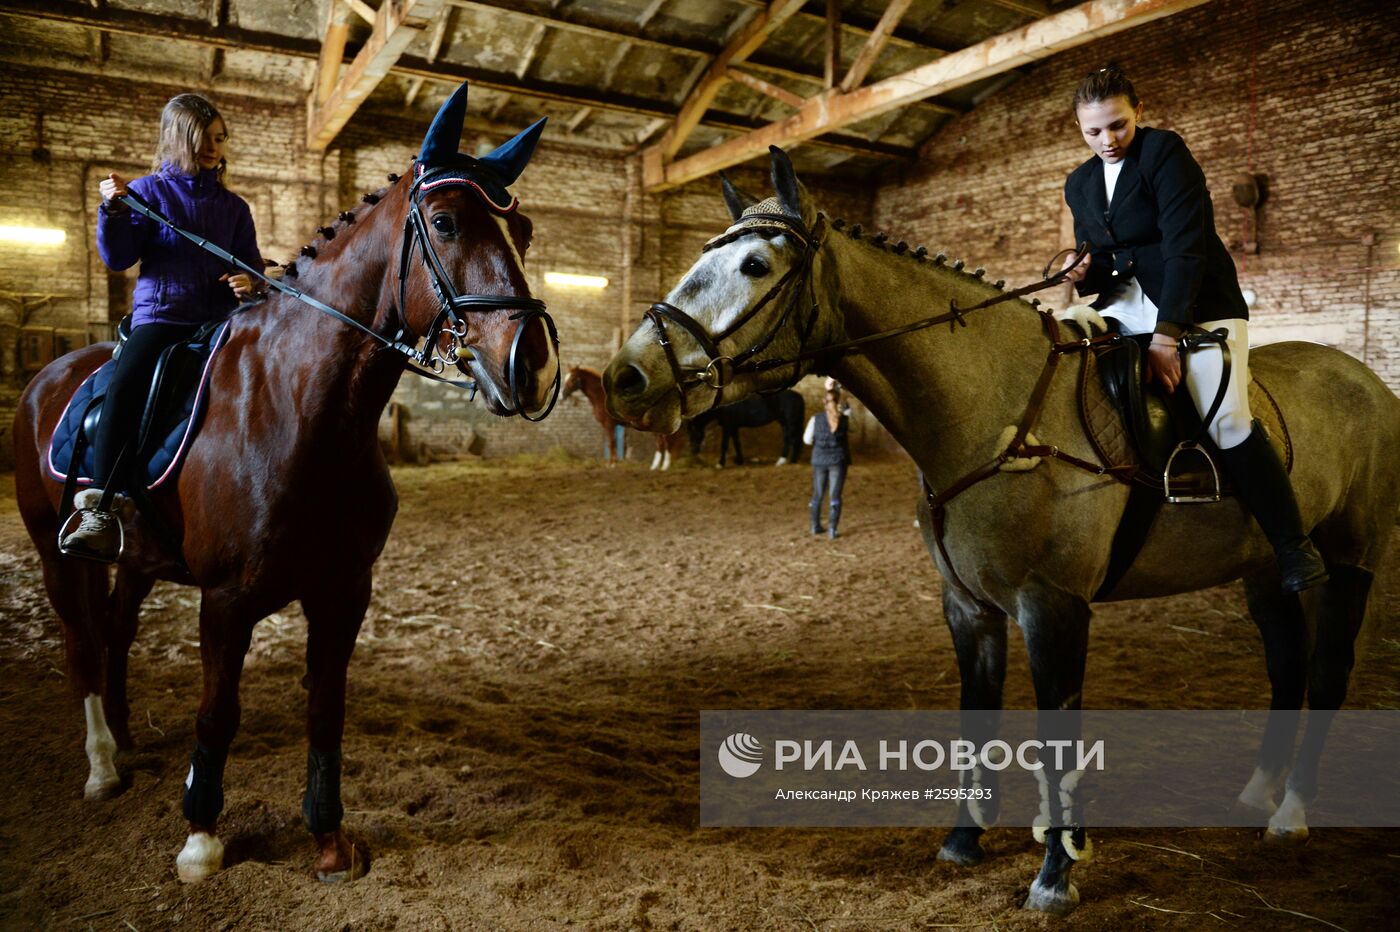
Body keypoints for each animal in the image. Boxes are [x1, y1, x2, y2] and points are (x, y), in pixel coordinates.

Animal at [13, 83, 557, 884]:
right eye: (447, 222)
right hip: (56, 556)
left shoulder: (344, 591)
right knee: (81, 642)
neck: (303, 408)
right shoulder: (226, 600)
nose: (533, 366)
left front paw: (329, 839)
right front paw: (201, 839)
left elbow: (326, 707)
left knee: (115, 632)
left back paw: (124, 734)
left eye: (522, 227)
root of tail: (46, 379)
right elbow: (218, 711)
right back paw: (102, 765)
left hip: (139, 561)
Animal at [602, 146, 1400, 912]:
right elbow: (976, 723)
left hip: (1350, 562)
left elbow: (1057, 738)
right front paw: (965, 842)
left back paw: (1291, 811)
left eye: (755, 265)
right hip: (1263, 570)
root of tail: (1364, 380)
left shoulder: (1053, 610)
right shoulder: (969, 608)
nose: (626, 378)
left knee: (1327, 671)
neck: (996, 409)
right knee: (1286, 664)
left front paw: (1056, 875)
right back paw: (1259, 792)